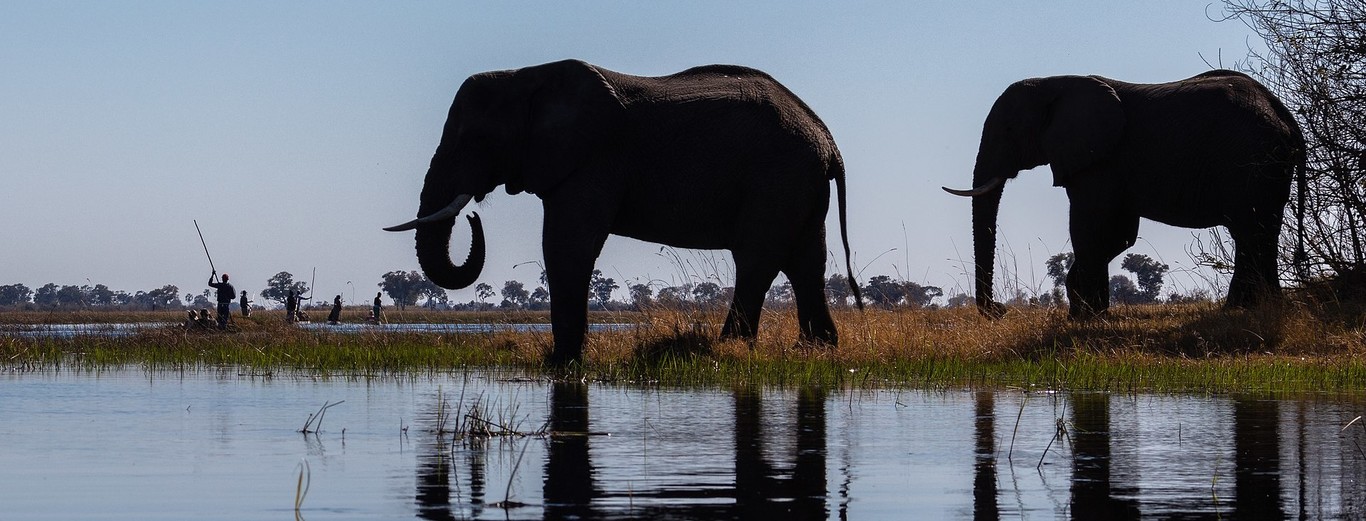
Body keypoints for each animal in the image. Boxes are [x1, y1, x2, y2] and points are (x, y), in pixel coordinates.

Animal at [386, 59, 863, 365]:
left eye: (475, 140)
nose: (473, 215)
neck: (525, 76)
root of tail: (830, 141)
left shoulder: (592, 162)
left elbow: (567, 248)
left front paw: (562, 364)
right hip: (799, 183)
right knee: (805, 262)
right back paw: (816, 351)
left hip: (776, 178)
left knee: (757, 260)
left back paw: (727, 350)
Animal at [943, 69, 1305, 318]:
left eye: (1008, 130)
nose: (1000, 310)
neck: (1055, 82)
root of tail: (1283, 113)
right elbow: (1120, 235)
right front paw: (1084, 312)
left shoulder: (1099, 161)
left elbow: (1089, 227)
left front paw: (1086, 317)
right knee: (1260, 233)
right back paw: (1259, 308)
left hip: (1251, 162)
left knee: (1251, 232)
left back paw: (1242, 309)